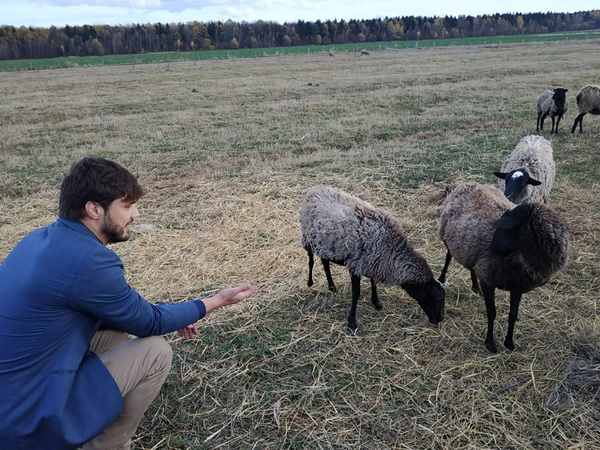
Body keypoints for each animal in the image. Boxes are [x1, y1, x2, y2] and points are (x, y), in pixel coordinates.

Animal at [300, 185, 445, 332]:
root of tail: (314, 190)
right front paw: (352, 323)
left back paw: (332, 286)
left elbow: (373, 283)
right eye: (436, 298)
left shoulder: (373, 263)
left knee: (325, 262)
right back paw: (310, 282)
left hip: (324, 244)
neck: (390, 249)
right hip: (308, 238)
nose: (440, 319)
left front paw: (376, 303)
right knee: (311, 260)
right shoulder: (356, 266)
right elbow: (356, 293)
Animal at [438, 182, 569, 353]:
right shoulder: (488, 280)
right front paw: (490, 343)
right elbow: (492, 312)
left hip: (469, 249)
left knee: (472, 266)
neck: (520, 258)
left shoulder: (518, 286)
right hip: (447, 236)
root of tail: (468, 184)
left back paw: (475, 287)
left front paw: (509, 343)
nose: (492, 248)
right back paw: (442, 278)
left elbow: (513, 315)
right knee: (448, 257)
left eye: (507, 227)